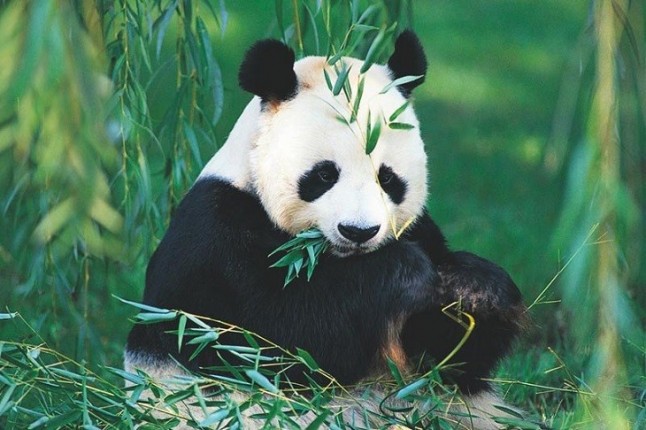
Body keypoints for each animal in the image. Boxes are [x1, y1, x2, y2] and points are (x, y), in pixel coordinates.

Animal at [125, 31, 526, 429]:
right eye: (323, 175)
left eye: (387, 178)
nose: (358, 231)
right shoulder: (214, 239)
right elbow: (279, 339)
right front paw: (402, 271)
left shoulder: (419, 229)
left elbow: (448, 357)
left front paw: (475, 288)